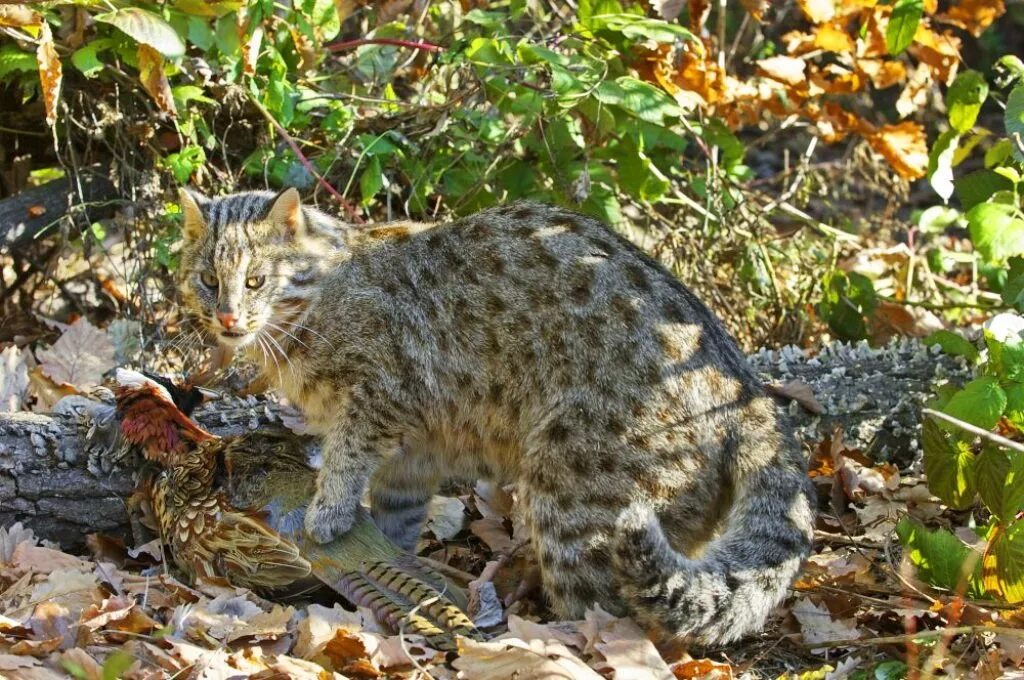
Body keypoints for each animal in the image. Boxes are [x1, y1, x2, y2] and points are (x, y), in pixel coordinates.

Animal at [178, 187, 815, 643]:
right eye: (208, 280)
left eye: (256, 280)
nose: (227, 320)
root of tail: (743, 382)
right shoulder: (412, 454)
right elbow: (395, 520)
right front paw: (387, 564)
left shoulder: (382, 392)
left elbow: (346, 454)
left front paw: (328, 512)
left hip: (575, 494)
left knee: (615, 616)